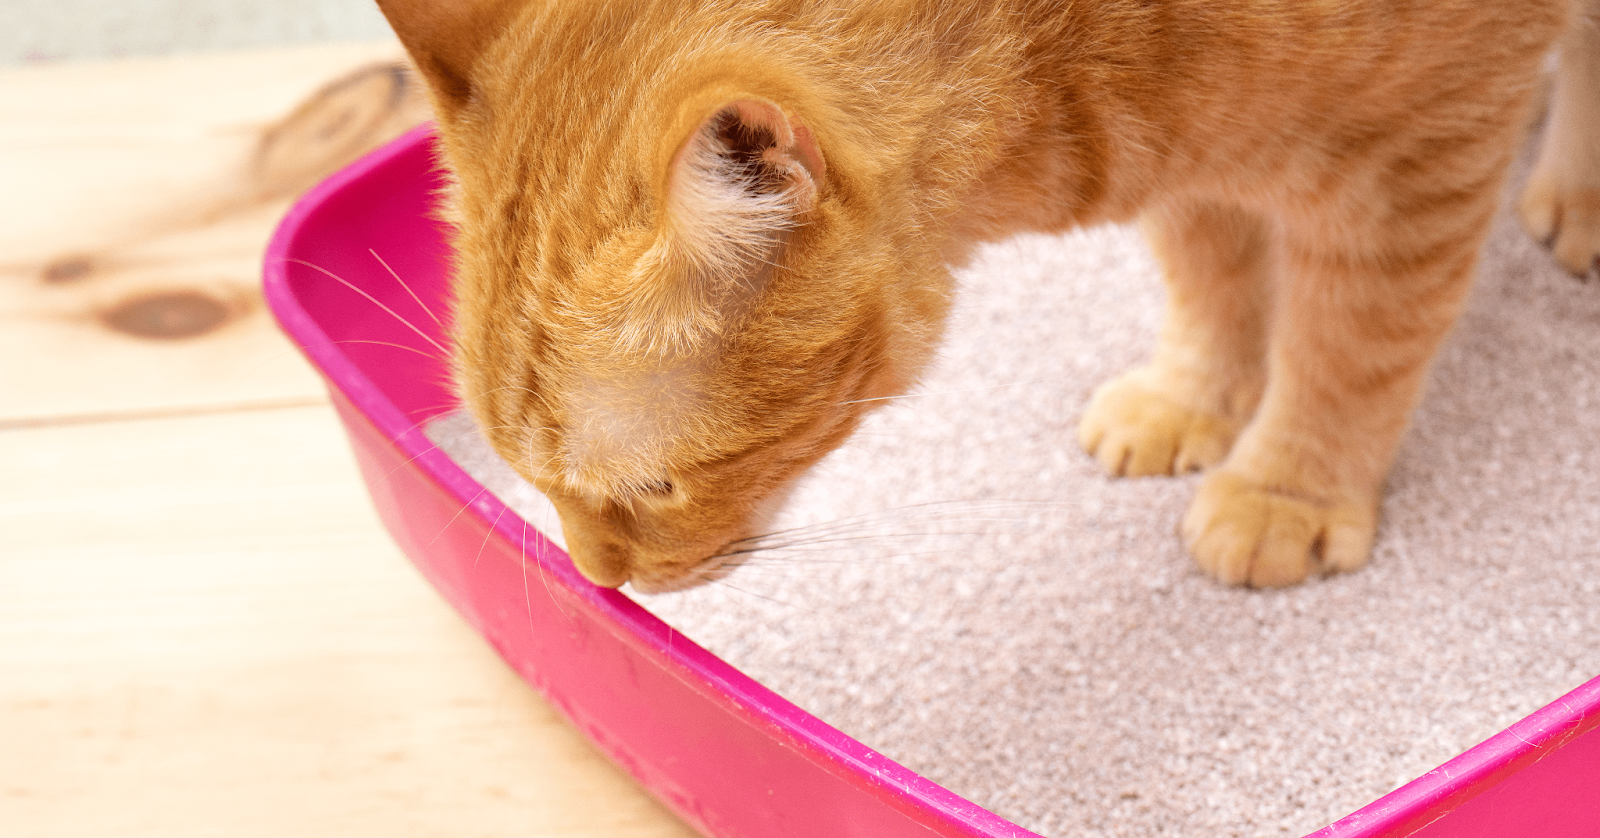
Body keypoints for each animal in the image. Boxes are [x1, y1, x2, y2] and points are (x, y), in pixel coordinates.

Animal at [377, 0, 1600, 588]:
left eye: (655, 487)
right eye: (529, 479)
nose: (599, 582)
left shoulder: (1422, 156)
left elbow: (1350, 347)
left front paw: (1286, 487)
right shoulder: (1194, 148)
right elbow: (1213, 275)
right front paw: (1194, 395)